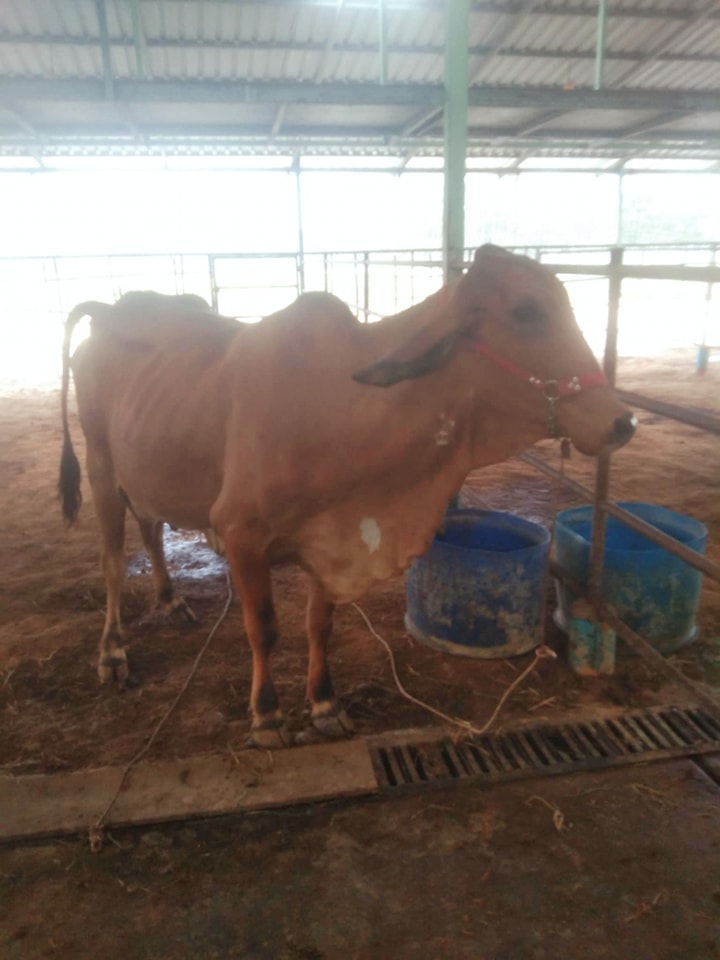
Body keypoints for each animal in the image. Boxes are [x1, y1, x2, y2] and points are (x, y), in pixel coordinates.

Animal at [59, 245, 636, 748]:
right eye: (526, 311)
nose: (621, 422)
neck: (340, 405)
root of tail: (108, 311)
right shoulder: (241, 533)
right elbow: (263, 630)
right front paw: (267, 717)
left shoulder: (329, 538)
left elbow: (320, 626)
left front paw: (324, 705)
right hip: (101, 464)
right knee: (112, 562)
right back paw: (112, 653)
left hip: (145, 470)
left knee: (151, 527)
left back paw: (170, 599)